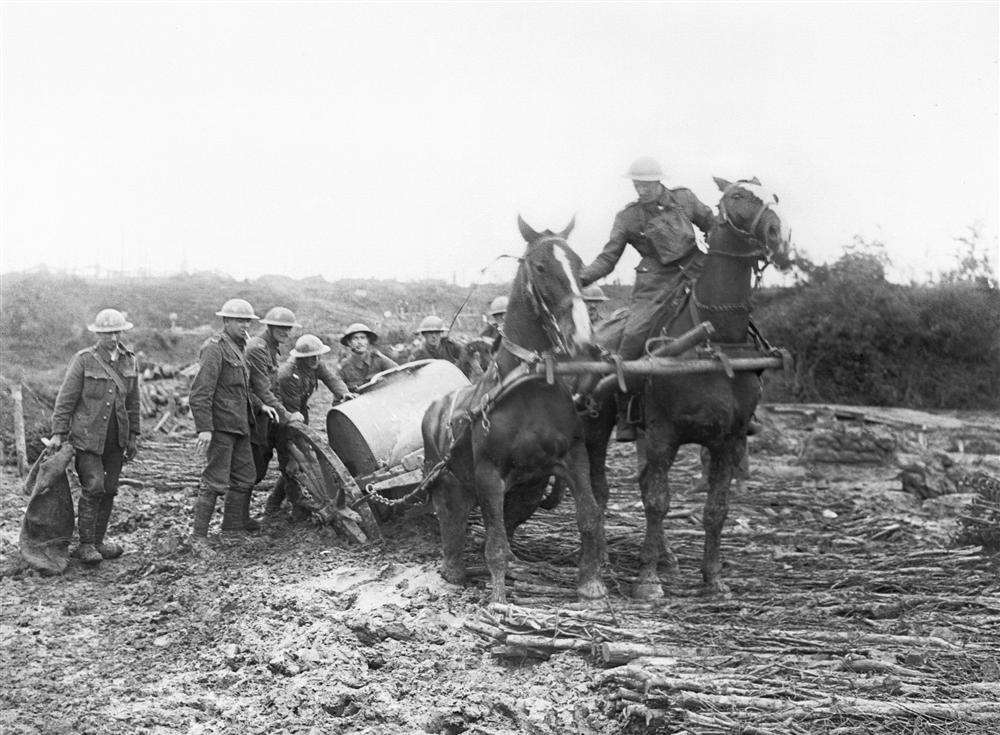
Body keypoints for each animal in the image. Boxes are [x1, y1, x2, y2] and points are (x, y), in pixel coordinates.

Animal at [418, 217, 604, 604]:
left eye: (580, 267)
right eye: (541, 266)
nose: (582, 340)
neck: (529, 383)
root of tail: (433, 408)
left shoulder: (574, 457)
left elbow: (590, 516)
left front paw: (591, 583)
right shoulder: (489, 474)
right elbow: (495, 543)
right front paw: (498, 599)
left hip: (525, 489)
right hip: (445, 481)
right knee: (451, 521)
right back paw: (453, 570)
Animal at [584, 177, 788, 600]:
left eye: (773, 195)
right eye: (738, 196)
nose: (777, 233)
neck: (714, 340)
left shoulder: (730, 440)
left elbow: (716, 510)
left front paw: (713, 578)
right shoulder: (664, 435)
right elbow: (657, 503)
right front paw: (647, 580)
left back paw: (667, 558)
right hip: (597, 428)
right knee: (601, 488)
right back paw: (606, 557)